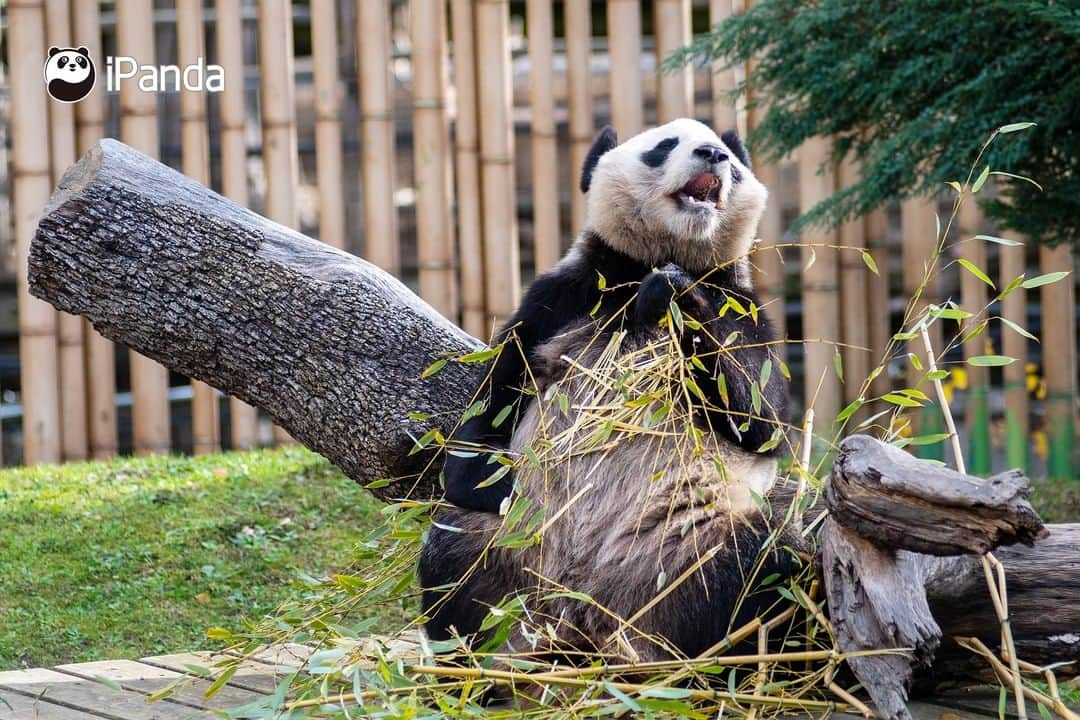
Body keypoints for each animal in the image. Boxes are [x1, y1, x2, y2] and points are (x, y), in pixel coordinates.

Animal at [416, 117, 799, 664]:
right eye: (664, 146)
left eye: (729, 157)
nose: (712, 154)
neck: (651, 261)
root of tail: (582, 616)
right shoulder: (558, 300)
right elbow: (482, 426)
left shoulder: (743, 307)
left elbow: (763, 423)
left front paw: (676, 294)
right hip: (510, 554)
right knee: (453, 552)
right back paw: (484, 659)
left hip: (680, 552)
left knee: (762, 564)